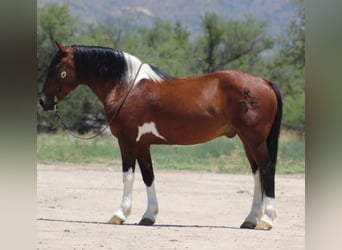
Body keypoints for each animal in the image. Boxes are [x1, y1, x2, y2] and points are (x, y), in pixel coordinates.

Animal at [38, 41, 282, 230]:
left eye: (58, 69)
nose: (44, 101)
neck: (126, 88)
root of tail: (265, 82)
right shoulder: (142, 145)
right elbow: (149, 176)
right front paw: (149, 216)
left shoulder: (127, 141)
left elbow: (128, 176)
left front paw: (120, 214)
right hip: (246, 140)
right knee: (257, 172)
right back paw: (250, 219)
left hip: (254, 139)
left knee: (267, 168)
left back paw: (266, 220)